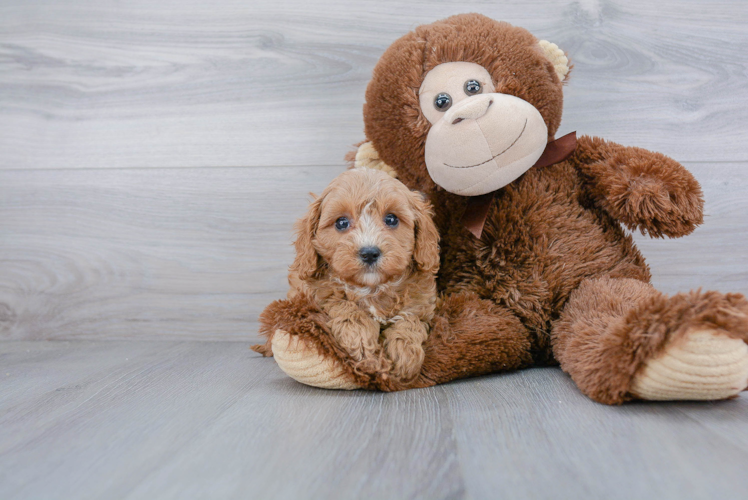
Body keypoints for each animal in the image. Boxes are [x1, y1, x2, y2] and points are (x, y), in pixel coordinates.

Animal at [258, 169, 442, 382]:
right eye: (341, 222)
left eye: (391, 219)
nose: (369, 253)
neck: (372, 288)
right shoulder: (321, 296)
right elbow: (346, 308)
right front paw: (364, 348)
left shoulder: (421, 307)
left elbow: (411, 321)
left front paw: (405, 353)